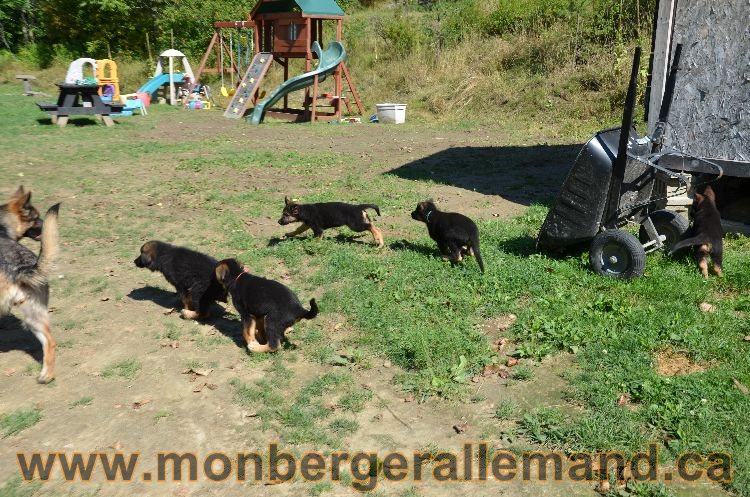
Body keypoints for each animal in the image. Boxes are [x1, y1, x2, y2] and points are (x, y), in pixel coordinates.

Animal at [0, 186, 60, 383]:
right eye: (35, 218)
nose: (42, 224)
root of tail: (20, 267)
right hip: (33, 315)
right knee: (50, 341)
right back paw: (46, 376)